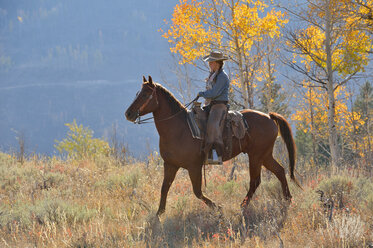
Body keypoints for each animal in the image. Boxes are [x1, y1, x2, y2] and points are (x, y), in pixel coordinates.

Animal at [125, 76, 300, 216]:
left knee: (255, 181)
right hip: (265, 155)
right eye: (138, 93)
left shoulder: (194, 166)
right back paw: (288, 199)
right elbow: (164, 188)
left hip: (256, 156)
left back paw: (243, 205)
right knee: (279, 171)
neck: (179, 128)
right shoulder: (170, 165)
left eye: (145, 94)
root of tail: (269, 116)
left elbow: (197, 191)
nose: (128, 113)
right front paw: (158, 215)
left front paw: (218, 208)